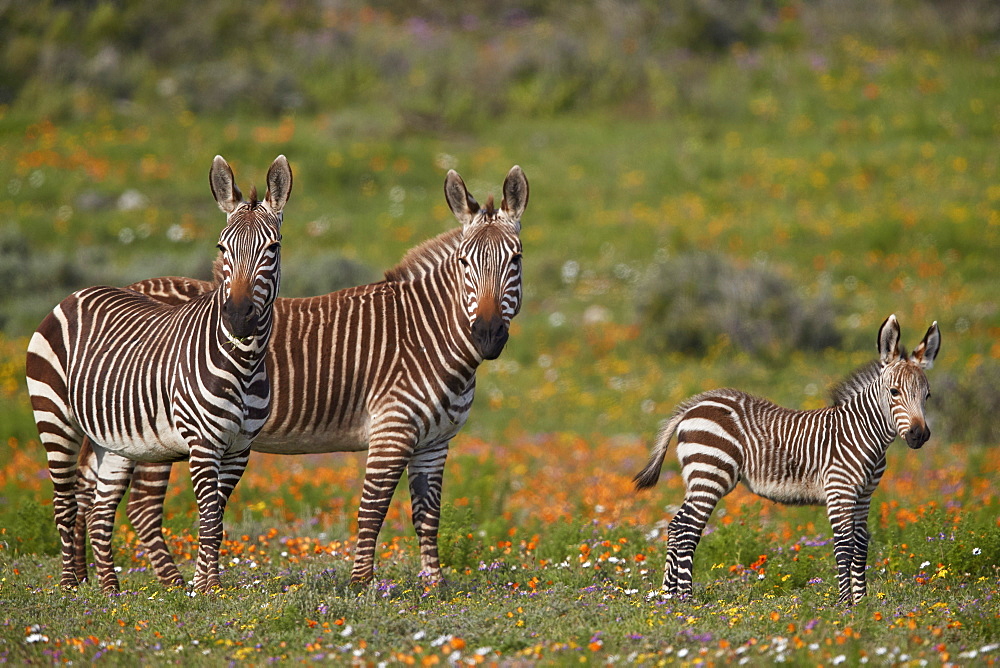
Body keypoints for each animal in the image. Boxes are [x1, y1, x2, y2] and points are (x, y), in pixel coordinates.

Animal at [27, 154, 292, 592]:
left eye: (273, 248)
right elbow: (208, 520)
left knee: (100, 510)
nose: (237, 318)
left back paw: (109, 590)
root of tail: (76, 293)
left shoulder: (239, 449)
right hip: (54, 417)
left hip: (114, 440)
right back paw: (69, 587)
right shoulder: (203, 442)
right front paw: (208, 589)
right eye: (222, 247)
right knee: (64, 503)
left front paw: (205, 585)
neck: (246, 362)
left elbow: (217, 521)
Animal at [74, 164, 528, 588]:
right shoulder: (392, 431)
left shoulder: (436, 443)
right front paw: (362, 585)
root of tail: (133, 286)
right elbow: (372, 510)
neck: (426, 334)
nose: (487, 334)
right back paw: (170, 584)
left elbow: (427, 515)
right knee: (142, 507)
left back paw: (84, 580)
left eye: (516, 260)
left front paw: (434, 585)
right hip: (157, 431)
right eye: (465, 262)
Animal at [636, 314, 940, 604]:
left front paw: (862, 600)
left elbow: (861, 544)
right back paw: (686, 598)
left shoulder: (864, 495)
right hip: (710, 473)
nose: (919, 435)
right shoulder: (839, 491)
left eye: (927, 396)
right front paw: (846, 603)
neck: (862, 433)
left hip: (700, 477)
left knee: (676, 526)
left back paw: (668, 596)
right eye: (894, 392)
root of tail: (695, 405)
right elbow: (844, 545)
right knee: (687, 529)